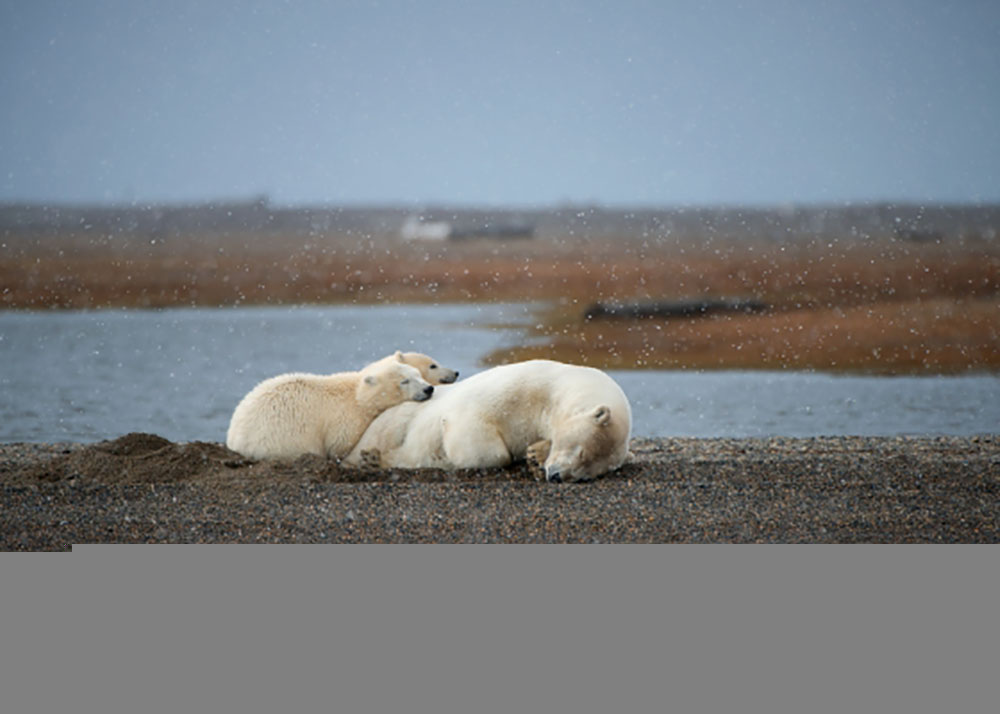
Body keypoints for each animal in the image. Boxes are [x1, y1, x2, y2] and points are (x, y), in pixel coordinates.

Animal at [226, 355, 434, 461]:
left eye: (418, 375)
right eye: (404, 381)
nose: (428, 389)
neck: (357, 395)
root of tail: (236, 441)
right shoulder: (344, 418)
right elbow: (339, 444)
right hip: (282, 440)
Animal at [344, 359, 632, 482]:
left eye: (591, 472)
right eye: (580, 452)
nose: (558, 476)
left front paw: (535, 455)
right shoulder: (518, 389)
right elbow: (482, 439)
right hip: (395, 418)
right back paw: (374, 458)